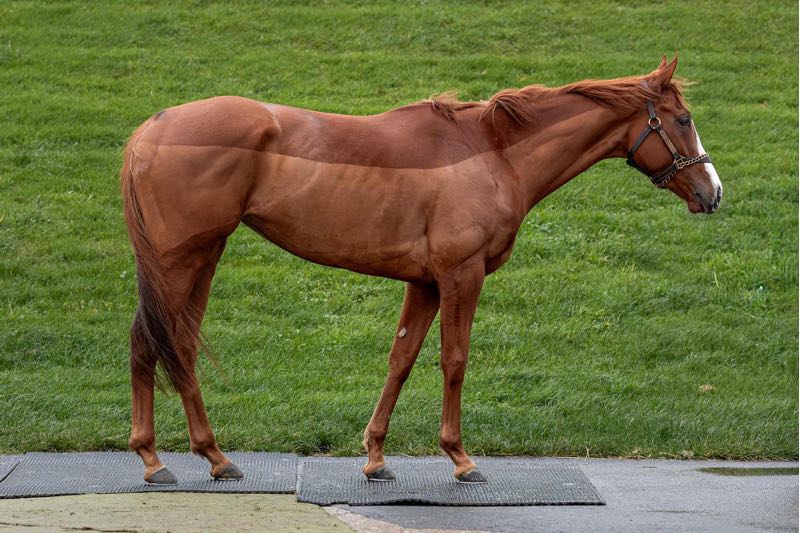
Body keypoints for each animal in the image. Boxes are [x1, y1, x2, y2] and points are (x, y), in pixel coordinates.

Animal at [121, 55, 722, 484]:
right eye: (684, 119)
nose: (712, 192)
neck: (492, 153)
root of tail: (152, 128)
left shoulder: (425, 283)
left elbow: (402, 360)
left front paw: (375, 457)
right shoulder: (461, 276)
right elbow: (454, 360)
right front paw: (461, 458)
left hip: (203, 258)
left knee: (178, 343)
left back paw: (209, 456)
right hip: (180, 260)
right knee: (148, 341)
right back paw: (157, 460)